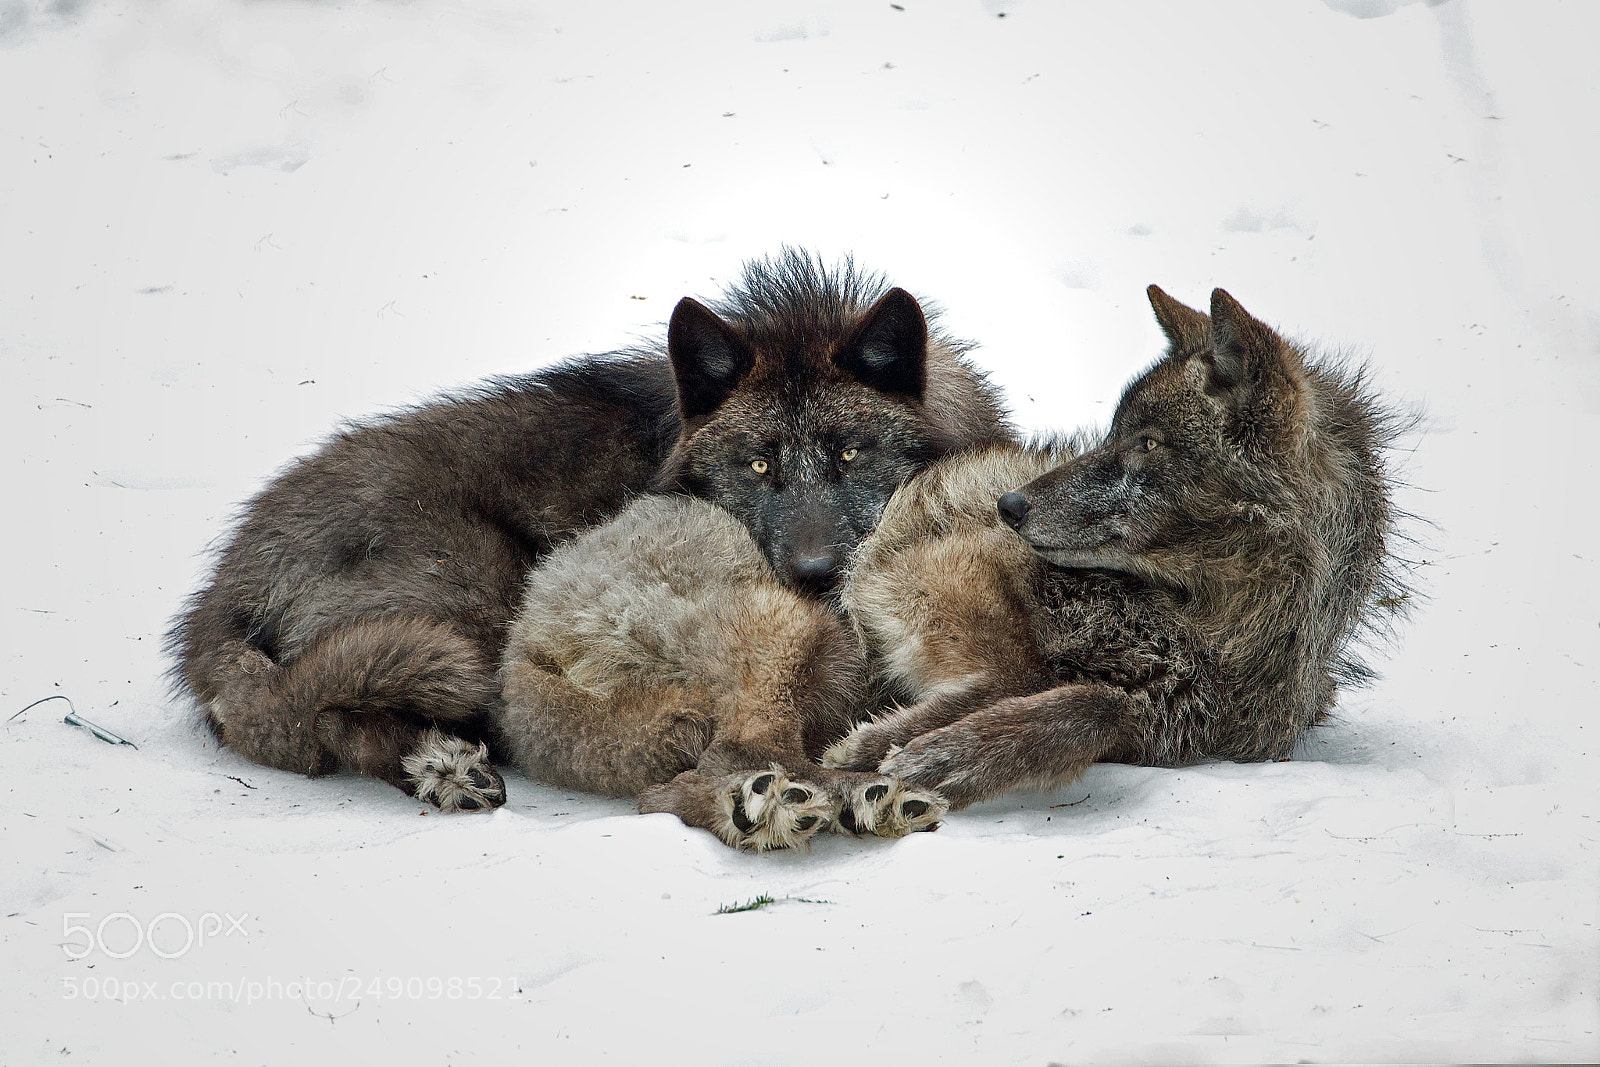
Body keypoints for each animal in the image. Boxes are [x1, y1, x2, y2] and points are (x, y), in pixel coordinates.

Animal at [167, 250, 1010, 812]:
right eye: (759, 464)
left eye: (850, 453)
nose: (813, 572)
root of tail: (218, 597)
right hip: (476, 584)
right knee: (340, 713)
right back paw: (446, 765)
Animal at [497, 494, 947, 851]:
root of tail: (526, 640)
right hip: (787, 623)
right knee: (741, 749)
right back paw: (847, 799)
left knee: (662, 795)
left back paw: (752, 812)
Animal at [825, 286, 1410, 810]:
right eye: (1111, 433)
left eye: (1147, 443)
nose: (1008, 505)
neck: (1203, 624)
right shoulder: (936, 578)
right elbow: (1024, 679)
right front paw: (888, 749)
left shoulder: (1171, 725)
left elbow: (1095, 706)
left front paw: (948, 755)